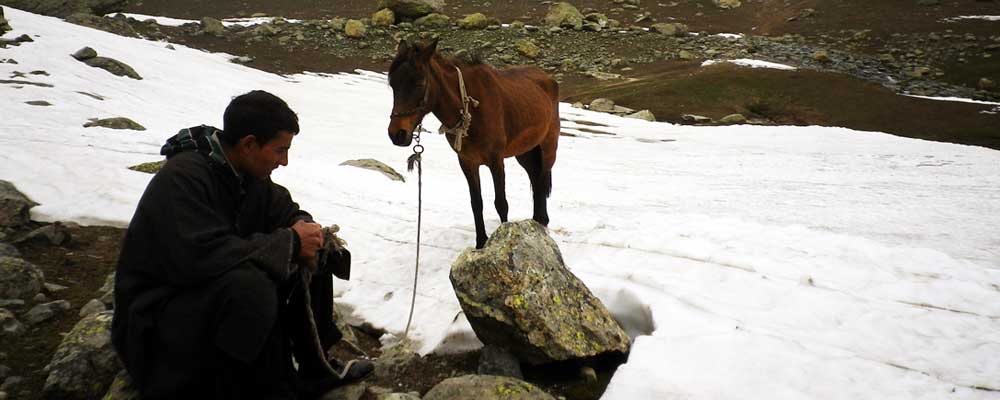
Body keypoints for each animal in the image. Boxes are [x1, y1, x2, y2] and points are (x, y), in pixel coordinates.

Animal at [388, 39, 564, 248]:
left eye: (419, 83)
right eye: (392, 85)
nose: (397, 134)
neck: (471, 110)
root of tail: (548, 78)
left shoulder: (496, 160)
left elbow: (501, 203)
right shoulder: (467, 161)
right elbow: (476, 203)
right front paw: (481, 242)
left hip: (548, 147)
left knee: (542, 181)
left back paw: (541, 222)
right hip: (525, 152)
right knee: (535, 179)